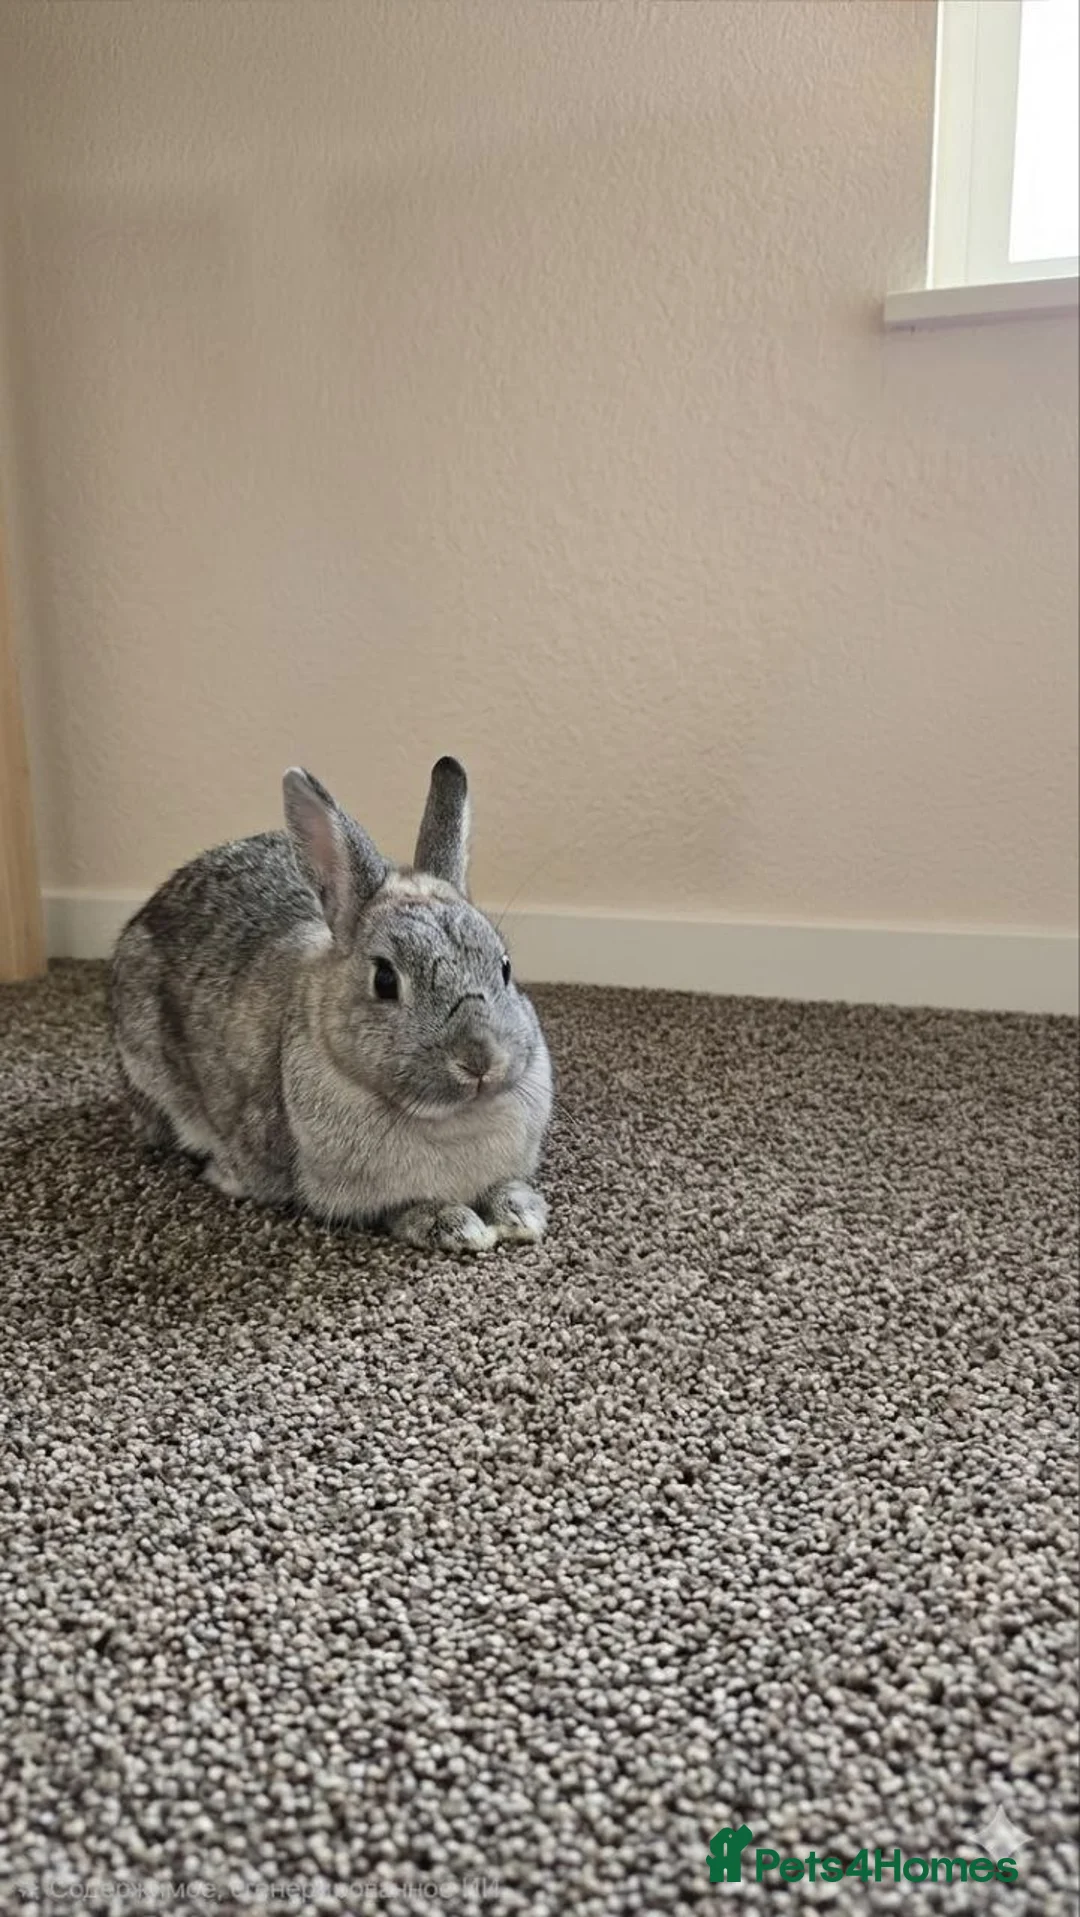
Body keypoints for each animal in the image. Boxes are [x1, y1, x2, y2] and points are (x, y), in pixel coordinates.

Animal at [108, 756, 553, 1253]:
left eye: (505, 966)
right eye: (384, 980)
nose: (480, 1061)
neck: (452, 1119)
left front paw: (520, 1211)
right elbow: (398, 1209)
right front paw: (455, 1224)